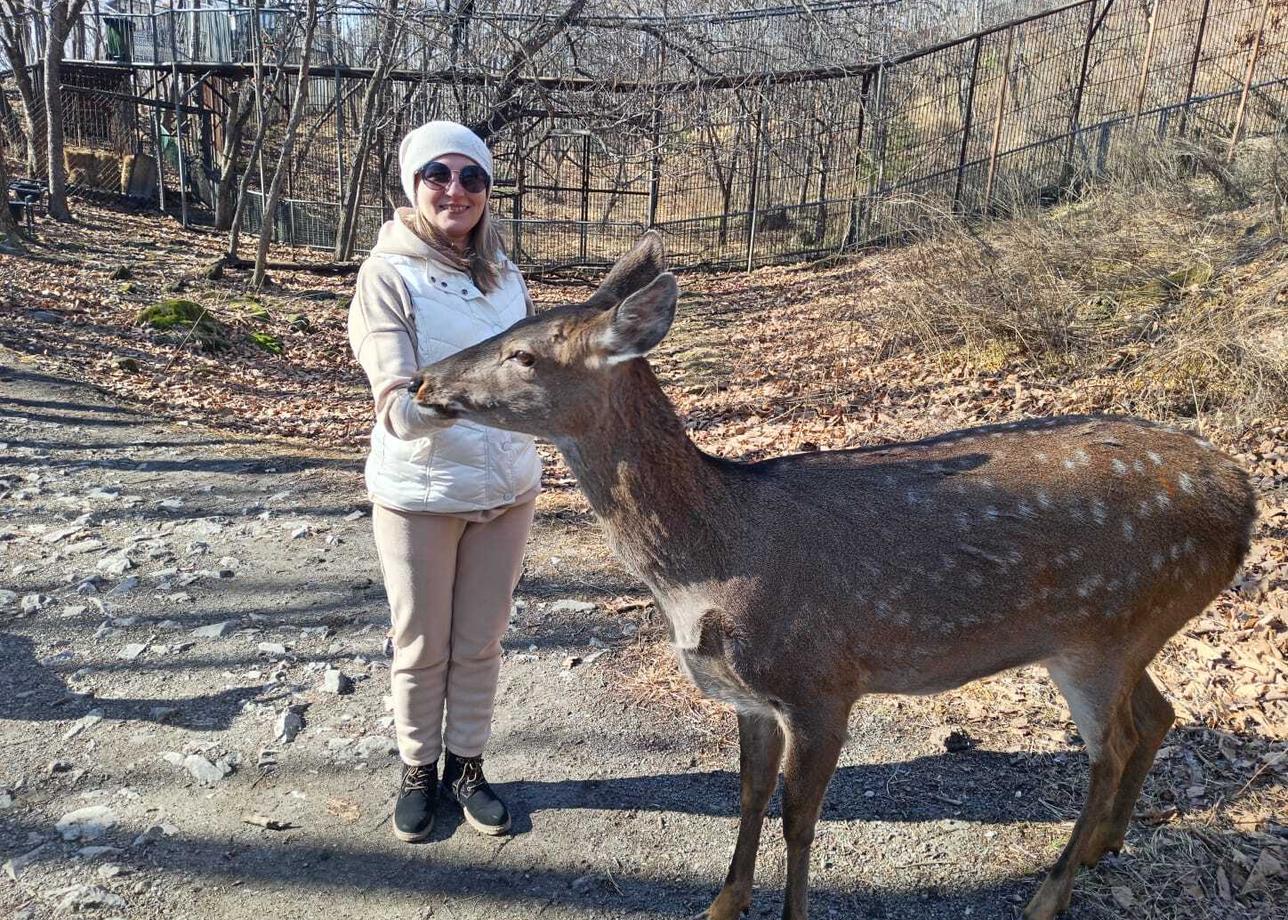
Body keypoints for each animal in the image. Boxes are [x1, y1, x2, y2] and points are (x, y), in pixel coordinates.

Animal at [409, 233, 1257, 912]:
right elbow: (748, 796)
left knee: (1111, 747)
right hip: (1123, 632)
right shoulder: (750, 695)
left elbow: (799, 818)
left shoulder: (822, 682)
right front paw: (721, 904)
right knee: (1158, 715)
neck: (710, 566)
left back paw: (1050, 894)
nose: (422, 379)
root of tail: (1243, 499)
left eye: (525, 353)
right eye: (507, 325)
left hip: (1103, 633)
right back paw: (1103, 846)